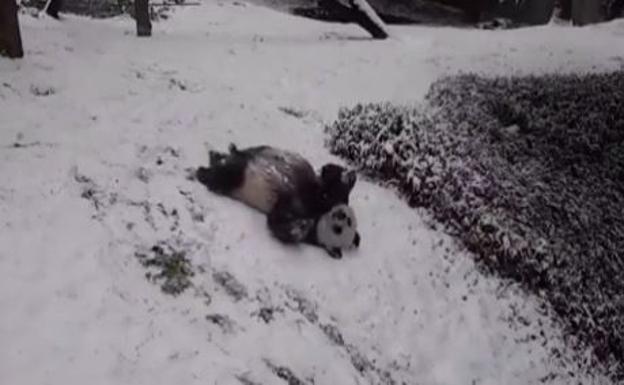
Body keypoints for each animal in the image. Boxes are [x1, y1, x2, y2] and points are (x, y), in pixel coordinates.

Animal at [195, 143, 360, 258]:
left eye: (339, 229)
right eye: (347, 219)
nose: (339, 215)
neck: (320, 217)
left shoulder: (298, 211)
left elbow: (279, 222)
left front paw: (299, 227)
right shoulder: (320, 196)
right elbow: (331, 188)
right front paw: (344, 176)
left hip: (238, 179)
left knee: (224, 176)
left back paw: (205, 173)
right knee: (235, 157)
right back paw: (216, 155)